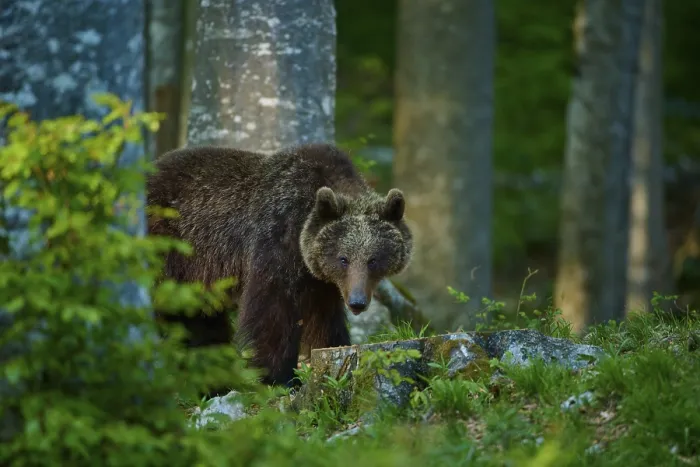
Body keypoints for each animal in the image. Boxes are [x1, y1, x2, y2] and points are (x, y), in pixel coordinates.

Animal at [146, 143, 413, 393]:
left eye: (373, 259)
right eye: (343, 258)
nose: (357, 302)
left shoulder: (319, 277)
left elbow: (324, 316)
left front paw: (334, 348)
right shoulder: (277, 239)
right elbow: (274, 310)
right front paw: (281, 377)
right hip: (169, 248)